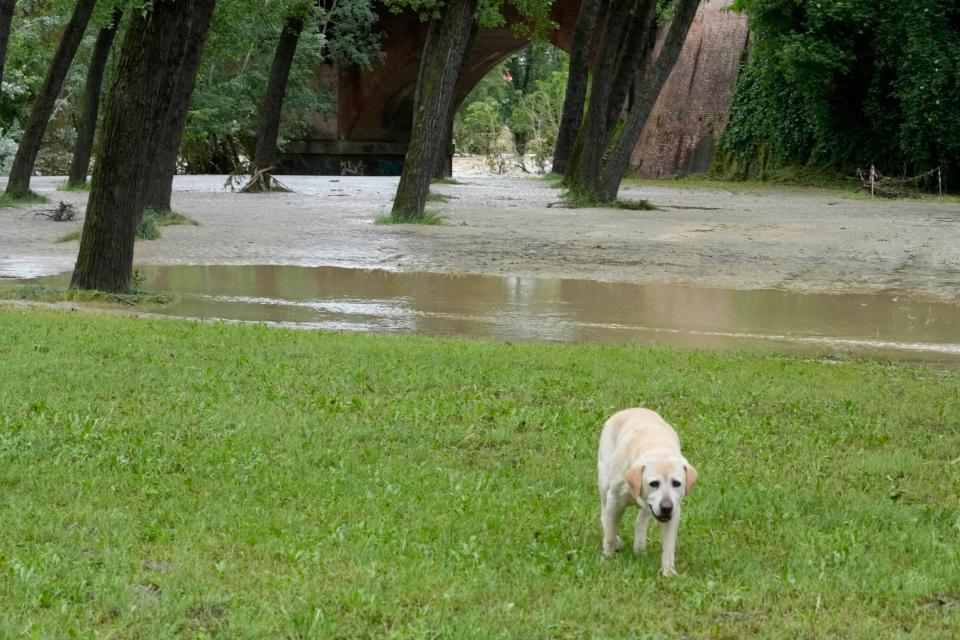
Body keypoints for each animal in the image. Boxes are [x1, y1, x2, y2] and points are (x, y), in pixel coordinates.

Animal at [592, 408, 696, 576]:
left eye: (676, 483)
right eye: (654, 483)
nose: (666, 507)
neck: (657, 448)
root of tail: (630, 409)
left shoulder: (674, 512)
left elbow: (668, 546)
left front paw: (668, 572)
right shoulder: (615, 500)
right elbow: (610, 532)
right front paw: (608, 557)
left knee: (642, 519)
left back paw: (639, 546)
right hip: (604, 479)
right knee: (604, 513)